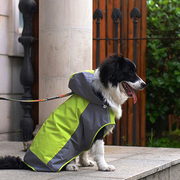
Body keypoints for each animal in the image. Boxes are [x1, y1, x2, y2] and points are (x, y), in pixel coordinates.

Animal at [0, 54, 146, 172]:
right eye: (130, 72)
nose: (144, 84)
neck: (101, 95)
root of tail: (27, 164)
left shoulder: (87, 132)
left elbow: (84, 150)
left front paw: (85, 162)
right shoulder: (95, 128)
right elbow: (100, 150)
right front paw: (104, 167)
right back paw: (70, 166)